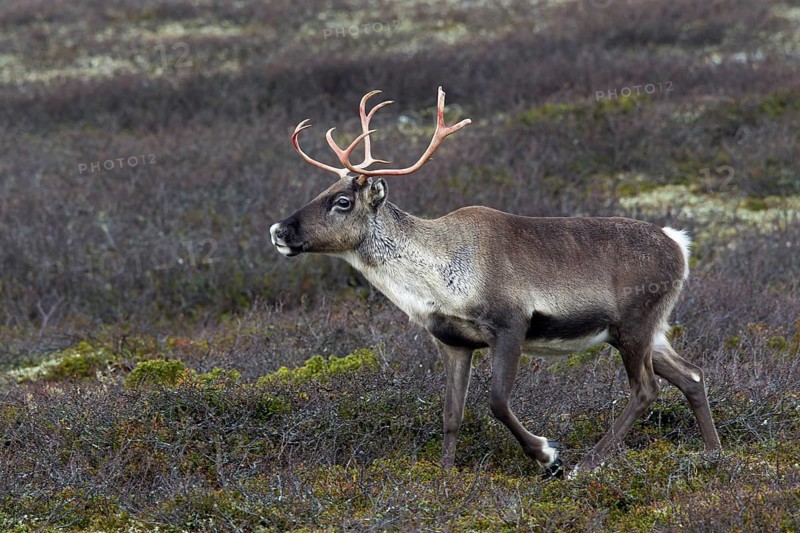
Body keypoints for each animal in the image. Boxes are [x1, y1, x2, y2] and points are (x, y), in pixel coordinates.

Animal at [270, 87, 722, 477]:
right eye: (324, 190)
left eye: (342, 202)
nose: (278, 229)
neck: (440, 278)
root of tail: (679, 245)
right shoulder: (453, 341)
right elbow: (451, 414)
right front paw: (445, 477)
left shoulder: (511, 324)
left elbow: (497, 402)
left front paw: (547, 454)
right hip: (644, 331)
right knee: (692, 375)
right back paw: (713, 454)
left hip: (634, 325)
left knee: (645, 390)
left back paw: (586, 465)